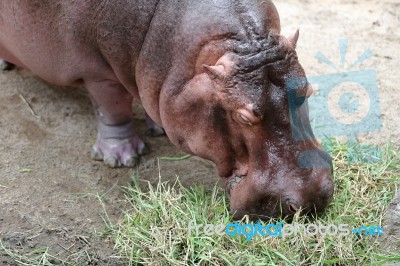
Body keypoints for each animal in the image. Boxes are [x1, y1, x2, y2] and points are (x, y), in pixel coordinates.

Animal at [0, 0, 334, 219]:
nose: (311, 199)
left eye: (306, 89)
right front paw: (122, 159)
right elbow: (113, 108)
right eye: (242, 115)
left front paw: (157, 128)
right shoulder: (98, 71)